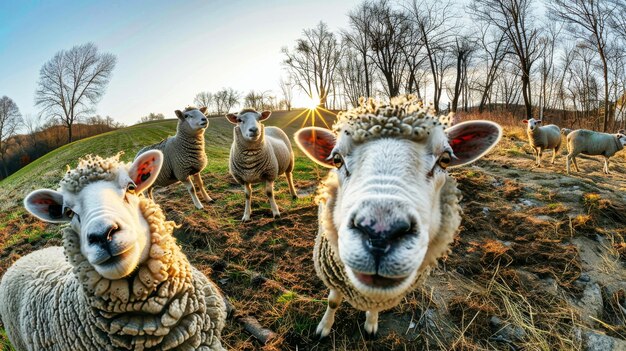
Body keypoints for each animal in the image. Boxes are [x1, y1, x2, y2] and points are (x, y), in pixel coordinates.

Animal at [292, 96, 502, 338]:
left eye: (445, 159)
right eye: (337, 159)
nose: (379, 234)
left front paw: (371, 324)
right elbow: (333, 302)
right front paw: (324, 328)